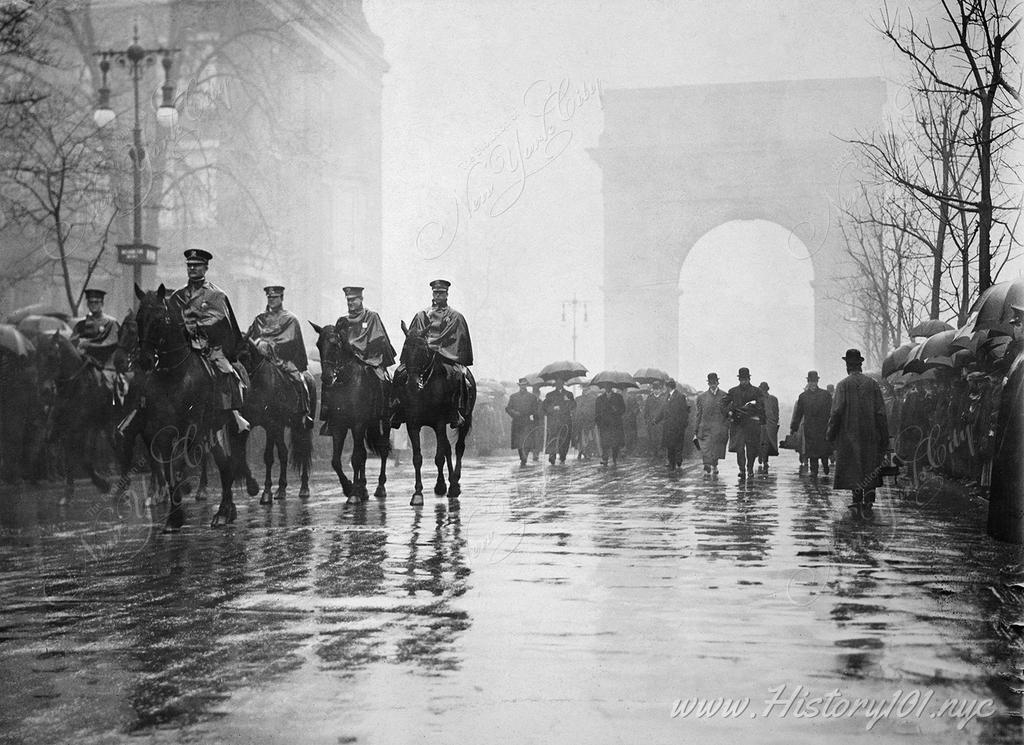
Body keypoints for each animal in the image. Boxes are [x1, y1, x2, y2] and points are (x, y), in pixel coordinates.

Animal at [35, 333, 117, 503]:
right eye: (36, 357)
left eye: (51, 355)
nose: (44, 391)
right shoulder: (65, 431)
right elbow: (68, 459)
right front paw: (67, 493)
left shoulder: (84, 429)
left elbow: (83, 460)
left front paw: (103, 484)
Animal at [133, 284, 244, 528]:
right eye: (138, 318)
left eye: (160, 319)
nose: (145, 360)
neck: (174, 376)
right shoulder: (162, 431)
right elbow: (167, 468)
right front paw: (173, 516)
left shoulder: (190, 429)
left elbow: (177, 465)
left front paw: (177, 510)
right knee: (225, 463)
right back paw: (227, 510)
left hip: (218, 427)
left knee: (226, 464)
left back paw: (223, 512)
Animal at [236, 339, 313, 503]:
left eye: (245, 356)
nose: (242, 385)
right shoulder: (251, 424)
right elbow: (241, 453)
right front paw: (253, 487)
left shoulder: (272, 425)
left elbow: (270, 457)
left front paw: (267, 492)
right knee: (284, 452)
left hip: (300, 427)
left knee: (302, 452)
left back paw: (303, 488)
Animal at [309, 321, 389, 505]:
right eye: (318, 344)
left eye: (336, 344)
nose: (326, 377)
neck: (347, 381)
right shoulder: (339, 425)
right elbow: (336, 461)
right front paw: (349, 487)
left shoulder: (358, 424)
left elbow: (356, 458)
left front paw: (353, 493)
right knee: (364, 454)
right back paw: (363, 488)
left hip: (385, 421)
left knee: (382, 450)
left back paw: (379, 487)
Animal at [395, 323, 475, 509]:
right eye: (405, 349)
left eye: (423, 350)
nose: (412, 384)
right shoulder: (413, 424)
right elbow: (418, 458)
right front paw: (418, 494)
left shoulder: (439, 422)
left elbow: (439, 457)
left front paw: (444, 485)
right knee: (446, 448)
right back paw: (447, 483)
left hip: (465, 418)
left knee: (459, 447)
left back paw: (454, 484)